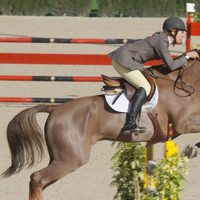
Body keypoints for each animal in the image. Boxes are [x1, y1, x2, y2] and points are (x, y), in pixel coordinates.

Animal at [1, 58, 200, 199]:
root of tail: (55, 109)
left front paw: (191, 149)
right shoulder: (183, 122)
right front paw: (192, 148)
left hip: (60, 159)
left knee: (40, 182)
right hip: (70, 159)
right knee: (37, 178)